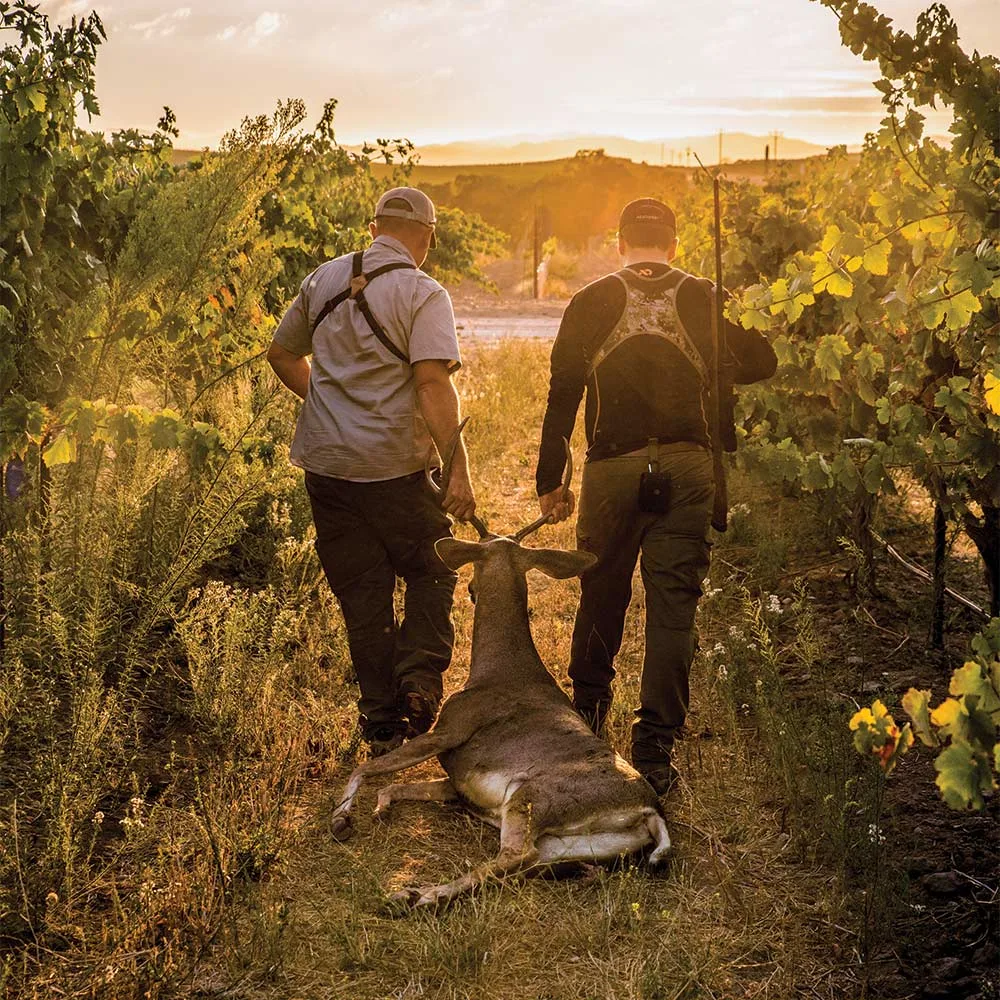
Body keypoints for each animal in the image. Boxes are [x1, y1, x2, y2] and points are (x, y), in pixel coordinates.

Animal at [330, 426, 672, 912]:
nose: (471, 590)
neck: (500, 668)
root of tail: (651, 811)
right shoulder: (455, 782)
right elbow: (392, 785)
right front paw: (379, 809)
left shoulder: (448, 728)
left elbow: (368, 768)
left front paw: (341, 818)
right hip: (572, 843)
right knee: (521, 865)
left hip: (531, 795)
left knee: (514, 854)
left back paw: (415, 894)